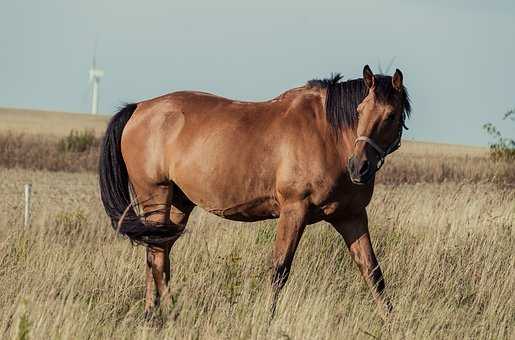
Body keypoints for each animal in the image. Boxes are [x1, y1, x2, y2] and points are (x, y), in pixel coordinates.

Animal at [98, 64, 412, 318]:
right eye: (359, 112)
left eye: (391, 115)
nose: (359, 167)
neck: (329, 136)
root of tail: (139, 108)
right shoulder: (294, 211)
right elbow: (280, 271)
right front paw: (268, 319)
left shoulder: (351, 216)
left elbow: (373, 272)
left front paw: (391, 322)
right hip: (156, 196)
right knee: (155, 256)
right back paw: (165, 312)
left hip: (178, 204)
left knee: (158, 253)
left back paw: (156, 313)